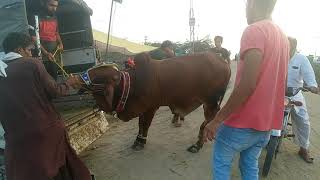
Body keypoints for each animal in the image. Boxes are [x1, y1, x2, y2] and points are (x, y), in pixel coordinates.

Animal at [79, 51, 231, 153]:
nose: (80, 78)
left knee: (207, 122)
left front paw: (140, 142)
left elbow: (145, 125)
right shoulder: (142, 108)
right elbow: (140, 125)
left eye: (99, 77)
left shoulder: (151, 107)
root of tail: (223, 61)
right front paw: (138, 140)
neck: (133, 82)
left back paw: (197, 145)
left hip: (210, 102)